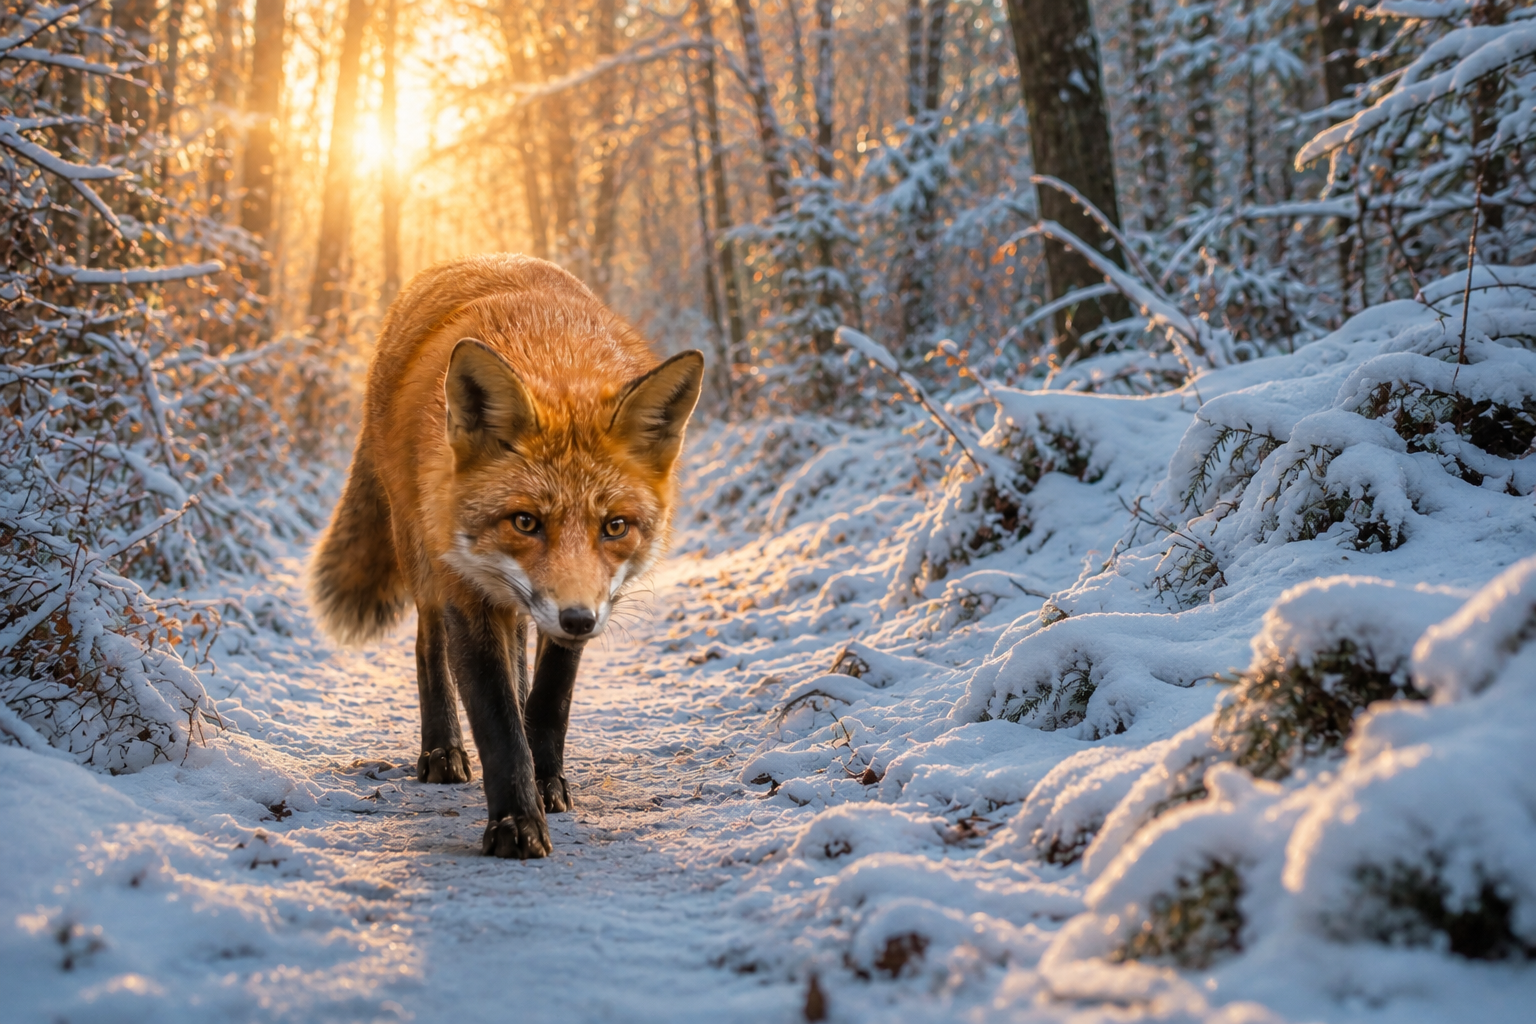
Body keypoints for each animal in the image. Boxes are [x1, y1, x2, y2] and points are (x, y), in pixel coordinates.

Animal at [308, 254, 704, 860]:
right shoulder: (467, 592)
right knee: (429, 648)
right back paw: (441, 751)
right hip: (421, 556)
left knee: (518, 654)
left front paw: (545, 780)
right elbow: (496, 722)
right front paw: (516, 822)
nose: (578, 619)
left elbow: (548, 701)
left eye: (614, 527)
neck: (553, 354)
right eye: (525, 522)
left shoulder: (584, 604)